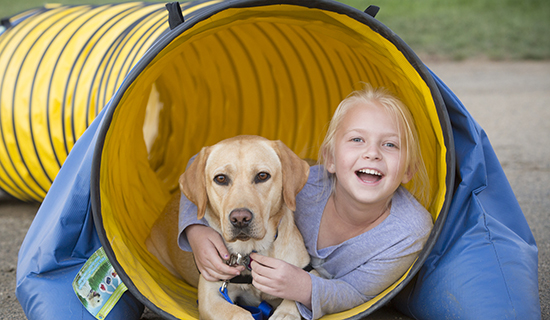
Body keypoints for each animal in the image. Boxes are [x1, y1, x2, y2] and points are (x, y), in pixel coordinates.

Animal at [147, 136, 312, 320]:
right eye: (220, 178)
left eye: (262, 176)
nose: (240, 219)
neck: (249, 253)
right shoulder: (210, 297)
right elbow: (237, 313)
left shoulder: (309, 271)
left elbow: (297, 294)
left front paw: (285, 313)